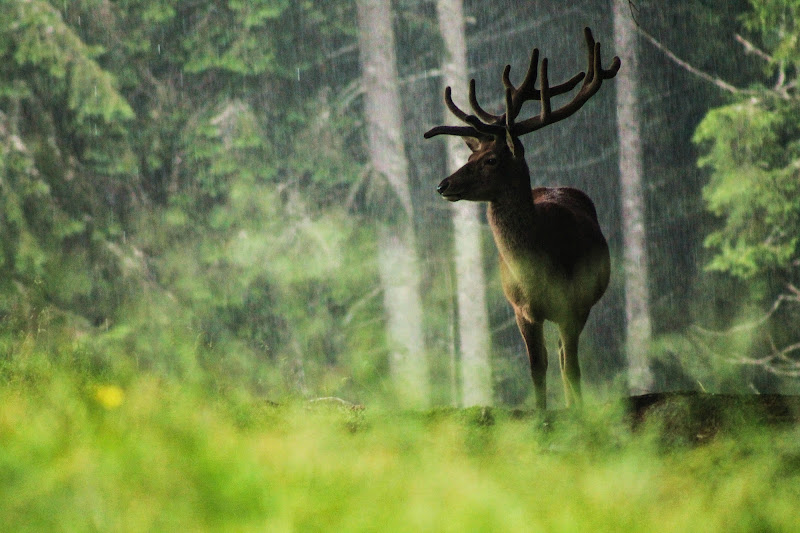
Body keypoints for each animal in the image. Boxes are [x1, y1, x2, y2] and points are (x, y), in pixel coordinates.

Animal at [424, 28, 620, 408]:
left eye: (491, 160)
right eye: (472, 156)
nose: (443, 185)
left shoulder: (573, 305)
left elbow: (571, 368)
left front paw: (579, 415)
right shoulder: (522, 310)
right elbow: (536, 368)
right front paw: (541, 415)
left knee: (566, 358)